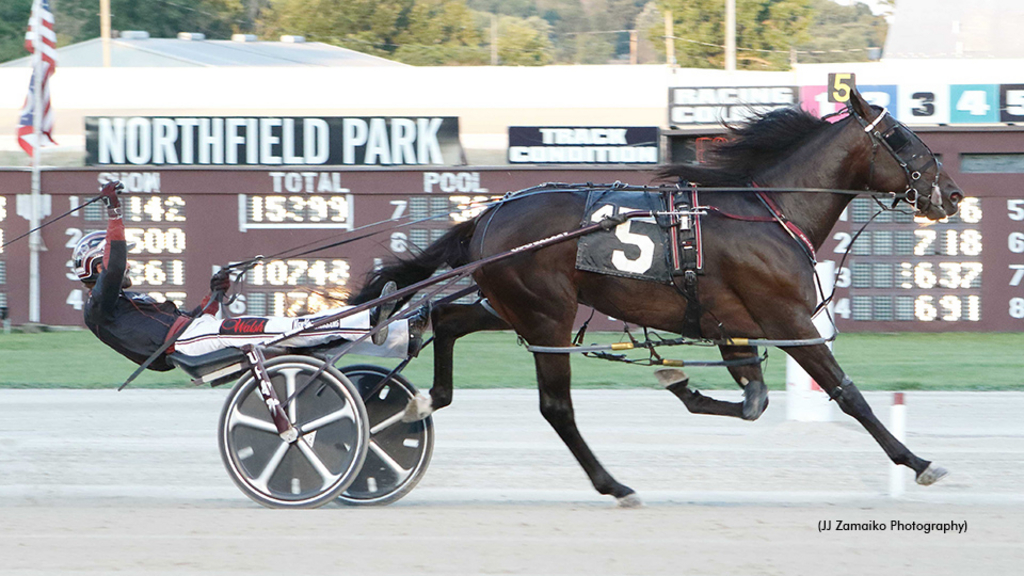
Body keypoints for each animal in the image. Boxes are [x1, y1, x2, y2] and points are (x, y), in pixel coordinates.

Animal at [352, 87, 958, 504]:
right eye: (901, 137)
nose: (951, 194)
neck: (766, 211)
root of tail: (487, 215)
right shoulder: (787, 320)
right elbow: (847, 394)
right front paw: (918, 461)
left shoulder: (731, 325)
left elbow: (754, 401)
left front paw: (679, 380)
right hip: (546, 316)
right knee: (556, 407)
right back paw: (614, 486)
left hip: (513, 306)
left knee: (448, 318)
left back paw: (422, 398)